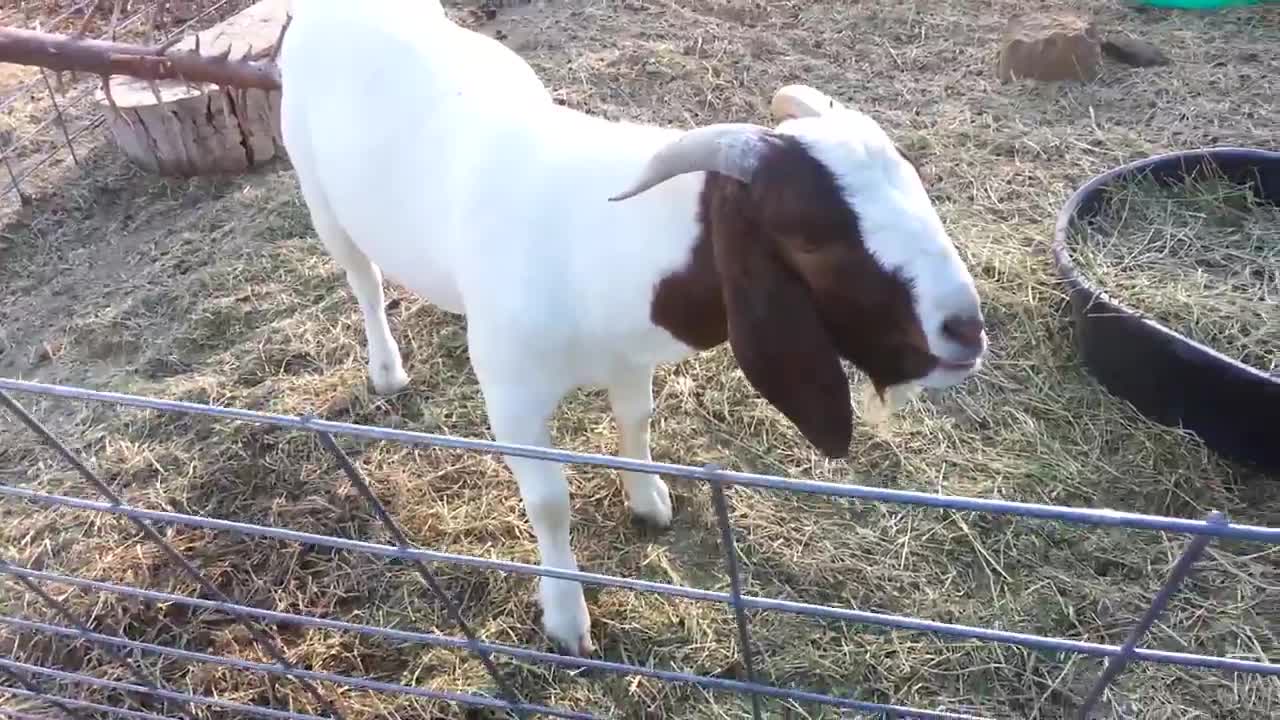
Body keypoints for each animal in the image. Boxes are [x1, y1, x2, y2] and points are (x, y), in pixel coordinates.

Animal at [275, 0, 983, 653]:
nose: (965, 329)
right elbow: (549, 502)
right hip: (321, 199)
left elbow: (635, 423)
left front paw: (648, 504)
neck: (594, 240)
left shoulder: (629, 360)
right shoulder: (513, 399)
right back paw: (387, 371)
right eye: (811, 235)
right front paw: (567, 620)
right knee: (364, 282)